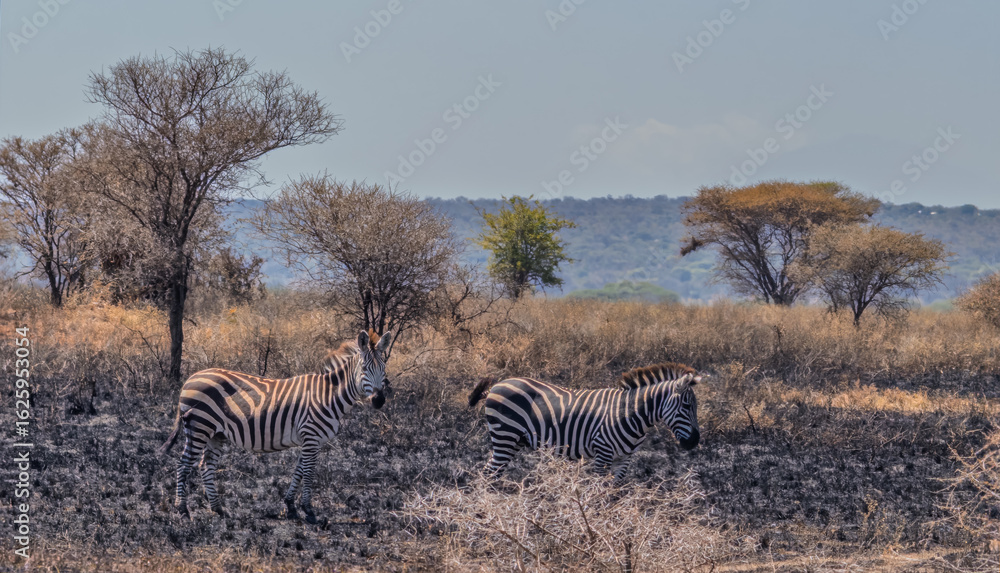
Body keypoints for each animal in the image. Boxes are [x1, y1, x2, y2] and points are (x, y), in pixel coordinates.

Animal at [159, 329, 391, 523]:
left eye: (384, 369)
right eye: (364, 369)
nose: (379, 400)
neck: (327, 395)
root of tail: (191, 378)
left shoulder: (308, 439)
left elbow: (299, 470)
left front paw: (290, 506)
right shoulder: (311, 436)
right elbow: (308, 473)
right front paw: (308, 510)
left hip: (216, 433)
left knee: (205, 466)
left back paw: (218, 509)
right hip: (199, 427)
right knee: (183, 464)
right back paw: (183, 510)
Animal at [468, 362, 702, 480]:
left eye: (695, 407)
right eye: (686, 406)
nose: (694, 443)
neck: (631, 414)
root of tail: (498, 384)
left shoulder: (624, 458)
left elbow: (615, 495)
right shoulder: (603, 452)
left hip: (514, 440)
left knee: (493, 473)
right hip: (505, 435)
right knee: (488, 474)